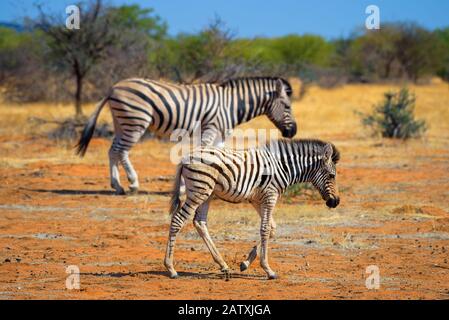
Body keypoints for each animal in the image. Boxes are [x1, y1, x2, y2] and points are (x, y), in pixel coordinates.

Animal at [77, 77, 298, 195]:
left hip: (121, 122)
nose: (293, 132)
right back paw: (132, 183)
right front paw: (187, 188)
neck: (232, 105)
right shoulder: (210, 128)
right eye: (287, 106)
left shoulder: (220, 134)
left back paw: (117, 186)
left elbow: (218, 157)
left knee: (112, 151)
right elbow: (202, 155)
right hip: (135, 120)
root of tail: (114, 87)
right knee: (121, 151)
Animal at [164, 139, 340, 278]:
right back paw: (171, 268)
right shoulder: (270, 196)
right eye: (332, 176)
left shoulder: (257, 199)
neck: (283, 167)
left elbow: (271, 227)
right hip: (199, 191)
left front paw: (245, 263)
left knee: (200, 222)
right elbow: (265, 229)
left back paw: (223, 265)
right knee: (178, 220)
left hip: (207, 193)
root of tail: (186, 157)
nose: (336, 202)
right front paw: (268, 270)